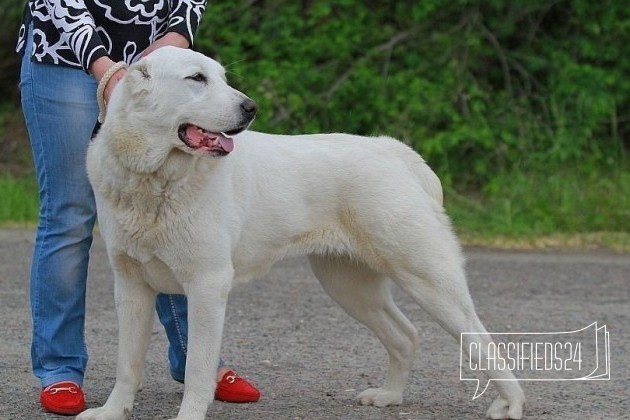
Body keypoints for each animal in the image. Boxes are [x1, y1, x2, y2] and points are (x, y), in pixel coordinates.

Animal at [76, 47, 524, 418]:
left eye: (222, 77)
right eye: (197, 79)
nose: (251, 107)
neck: (152, 180)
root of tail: (393, 150)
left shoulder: (206, 284)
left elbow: (199, 369)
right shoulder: (130, 286)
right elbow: (127, 364)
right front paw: (111, 412)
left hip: (428, 278)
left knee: (482, 341)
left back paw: (511, 404)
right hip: (348, 285)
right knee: (406, 336)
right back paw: (389, 396)